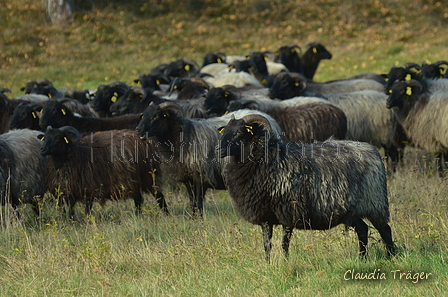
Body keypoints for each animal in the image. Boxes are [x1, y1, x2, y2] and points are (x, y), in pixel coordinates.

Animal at [37, 125, 168, 217]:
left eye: (57, 138)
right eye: (45, 137)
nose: (42, 149)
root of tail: (145, 140)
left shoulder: (88, 188)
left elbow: (86, 210)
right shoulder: (63, 191)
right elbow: (65, 210)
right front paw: (67, 222)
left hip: (149, 176)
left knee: (158, 196)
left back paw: (166, 214)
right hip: (134, 180)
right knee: (138, 199)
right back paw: (138, 216)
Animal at [216, 113, 396, 262]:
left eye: (239, 132)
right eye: (225, 131)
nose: (217, 149)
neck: (267, 159)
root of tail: (372, 151)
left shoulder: (288, 211)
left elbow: (284, 243)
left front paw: (285, 262)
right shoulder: (265, 215)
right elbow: (267, 244)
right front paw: (268, 264)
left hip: (374, 203)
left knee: (384, 229)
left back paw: (391, 256)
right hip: (351, 211)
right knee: (363, 229)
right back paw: (362, 258)